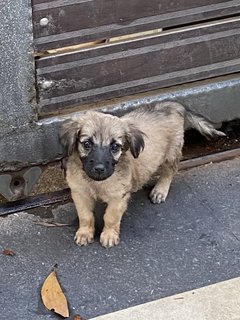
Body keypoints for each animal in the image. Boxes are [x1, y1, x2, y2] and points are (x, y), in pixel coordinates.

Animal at [60, 102, 225, 248]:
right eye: (87, 144)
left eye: (115, 146)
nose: (99, 169)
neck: (97, 183)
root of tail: (174, 105)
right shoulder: (80, 193)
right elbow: (85, 216)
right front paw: (85, 233)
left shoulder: (118, 198)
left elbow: (110, 217)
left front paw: (109, 235)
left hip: (171, 154)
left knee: (169, 172)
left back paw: (160, 191)